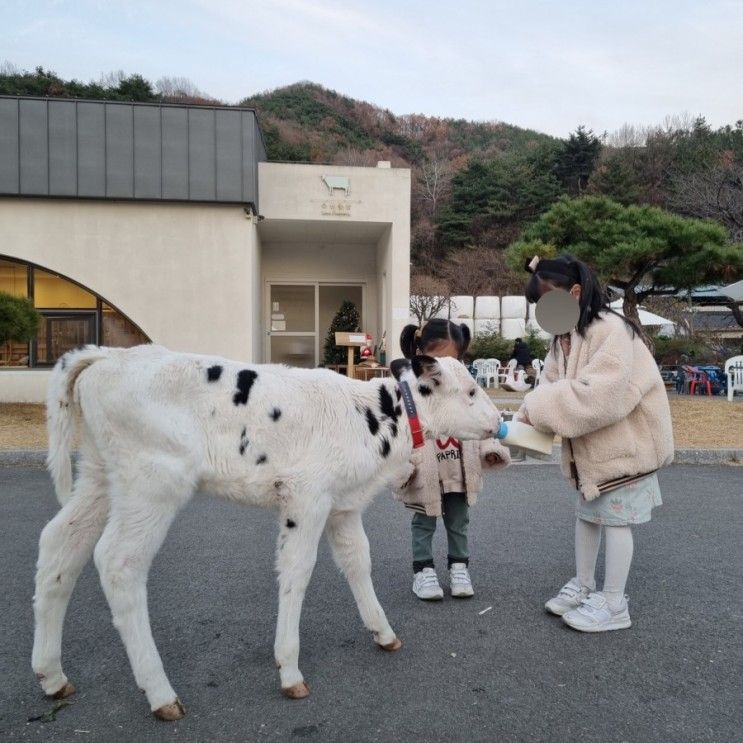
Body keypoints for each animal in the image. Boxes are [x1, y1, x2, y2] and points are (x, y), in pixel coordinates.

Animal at [33, 348, 500, 720]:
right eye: (470, 391)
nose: (498, 421)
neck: (370, 417)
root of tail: (107, 356)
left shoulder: (343, 505)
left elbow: (357, 562)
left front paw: (383, 631)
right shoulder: (306, 498)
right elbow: (297, 572)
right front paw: (289, 670)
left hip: (98, 475)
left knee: (60, 546)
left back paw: (52, 674)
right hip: (152, 481)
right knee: (118, 562)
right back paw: (160, 693)